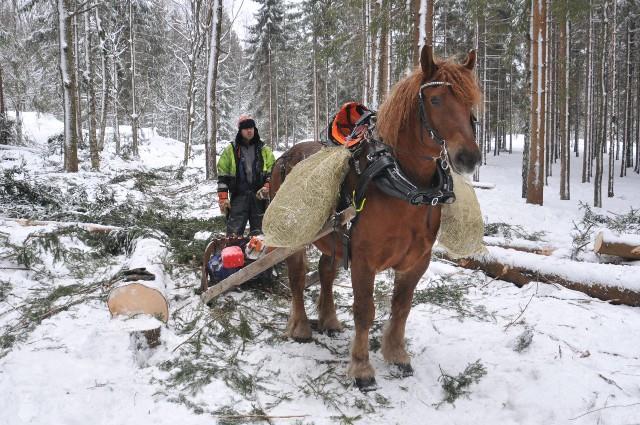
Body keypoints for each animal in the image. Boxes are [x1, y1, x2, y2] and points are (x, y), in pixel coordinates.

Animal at [268, 44, 482, 390]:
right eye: (436, 100)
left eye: (471, 101)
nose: (469, 157)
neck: (405, 185)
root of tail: (284, 157)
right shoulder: (364, 260)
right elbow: (364, 311)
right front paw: (361, 367)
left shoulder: (416, 261)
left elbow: (402, 306)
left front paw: (396, 353)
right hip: (295, 237)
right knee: (298, 278)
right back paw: (300, 327)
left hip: (334, 238)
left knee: (326, 272)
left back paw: (329, 320)